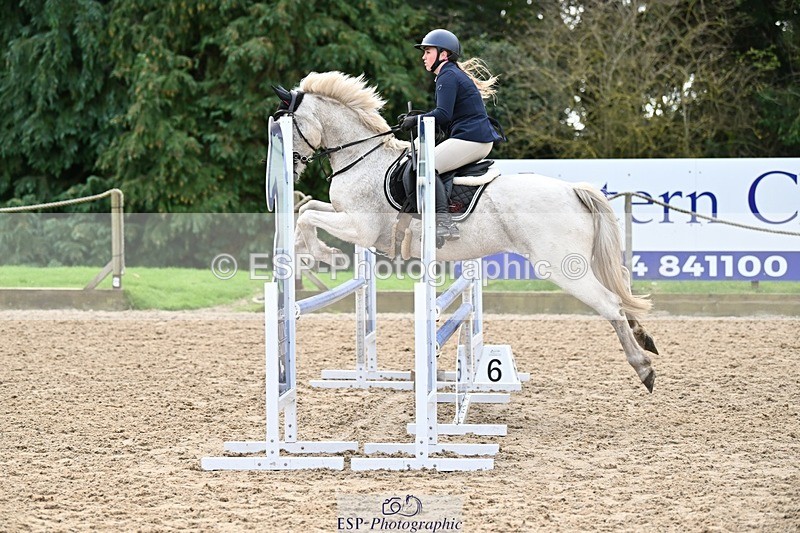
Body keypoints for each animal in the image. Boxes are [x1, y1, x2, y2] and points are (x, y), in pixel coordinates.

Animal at [272, 71, 658, 392]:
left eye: (288, 127)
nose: (292, 167)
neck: (363, 157)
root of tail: (572, 189)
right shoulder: (345, 216)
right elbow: (307, 210)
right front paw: (303, 255)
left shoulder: (360, 228)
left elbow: (308, 217)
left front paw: (329, 256)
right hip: (580, 261)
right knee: (621, 289)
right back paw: (644, 339)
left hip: (563, 267)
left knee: (609, 303)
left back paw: (643, 368)